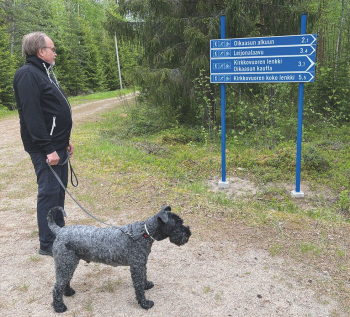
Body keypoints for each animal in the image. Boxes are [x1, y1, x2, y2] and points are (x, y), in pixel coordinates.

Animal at [47, 205, 191, 312]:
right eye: (177, 223)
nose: (189, 233)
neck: (143, 233)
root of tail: (60, 231)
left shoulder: (142, 263)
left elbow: (144, 276)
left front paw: (146, 285)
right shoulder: (136, 267)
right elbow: (138, 286)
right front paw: (144, 303)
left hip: (69, 264)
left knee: (64, 281)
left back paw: (68, 292)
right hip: (65, 264)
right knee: (57, 287)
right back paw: (59, 307)